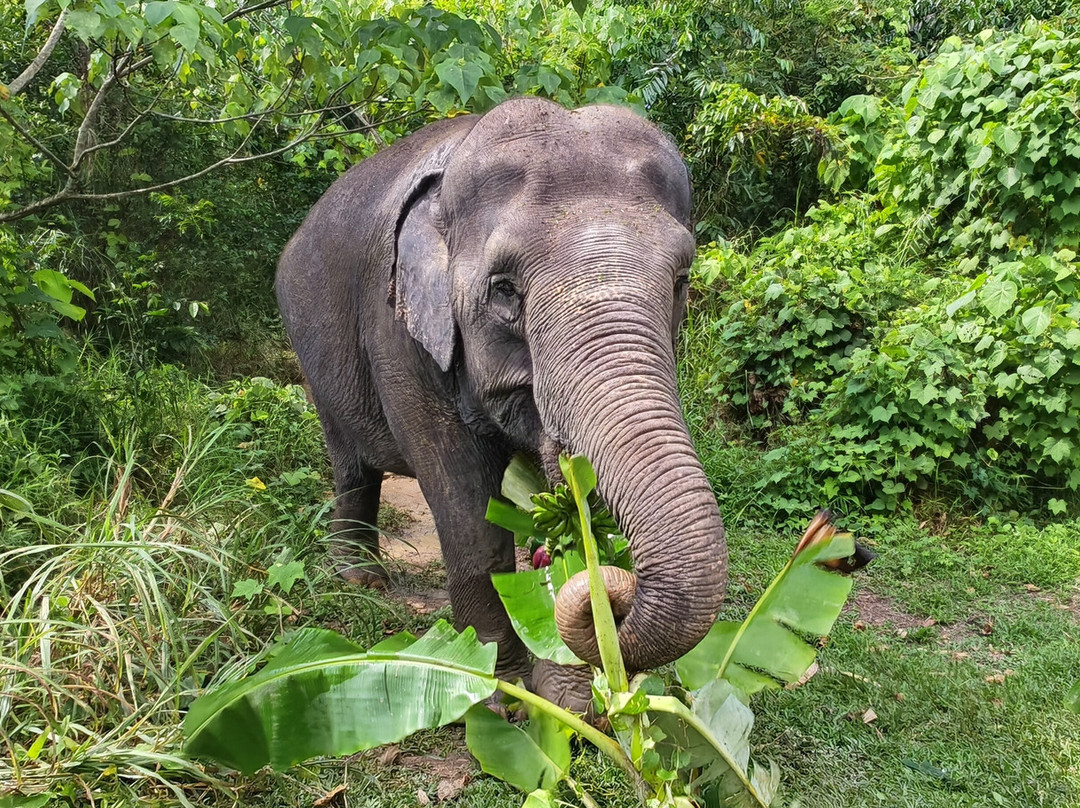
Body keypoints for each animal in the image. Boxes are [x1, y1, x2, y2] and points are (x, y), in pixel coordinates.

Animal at [275, 96, 727, 702]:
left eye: (681, 282)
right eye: (505, 291)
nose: (616, 600)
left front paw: (569, 701)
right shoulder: (396, 331)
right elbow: (466, 507)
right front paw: (499, 688)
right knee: (350, 463)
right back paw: (361, 578)